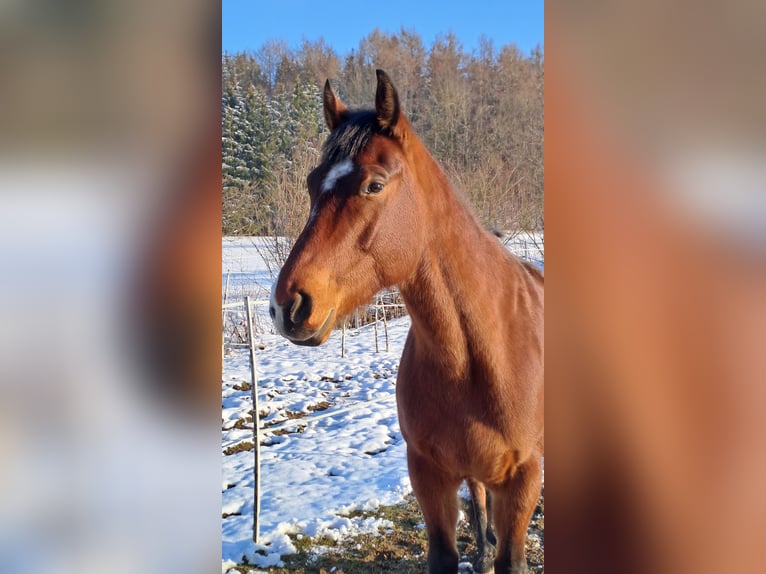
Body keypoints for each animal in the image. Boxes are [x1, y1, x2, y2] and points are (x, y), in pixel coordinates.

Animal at [270, 70, 544, 574]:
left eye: (374, 185)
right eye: (313, 182)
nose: (288, 306)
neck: (478, 354)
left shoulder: (523, 478)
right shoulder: (429, 476)